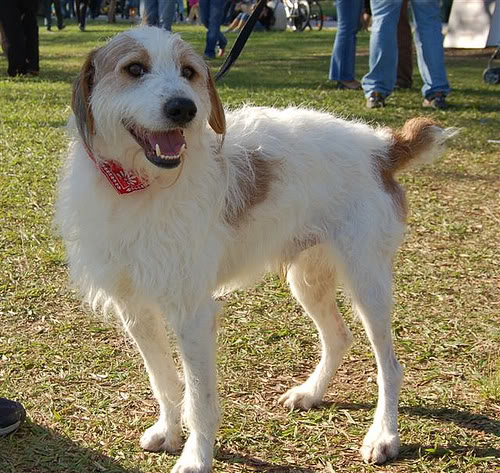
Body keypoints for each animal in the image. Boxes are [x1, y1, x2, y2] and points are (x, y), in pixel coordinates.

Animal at [56, 24, 456, 472]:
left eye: (189, 72)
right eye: (134, 69)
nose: (183, 109)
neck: (141, 185)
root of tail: (382, 146)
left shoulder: (193, 314)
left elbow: (200, 399)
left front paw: (196, 457)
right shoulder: (135, 309)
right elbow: (163, 380)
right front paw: (168, 431)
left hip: (368, 282)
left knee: (390, 365)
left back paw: (384, 435)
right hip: (308, 280)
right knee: (338, 337)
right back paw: (310, 393)